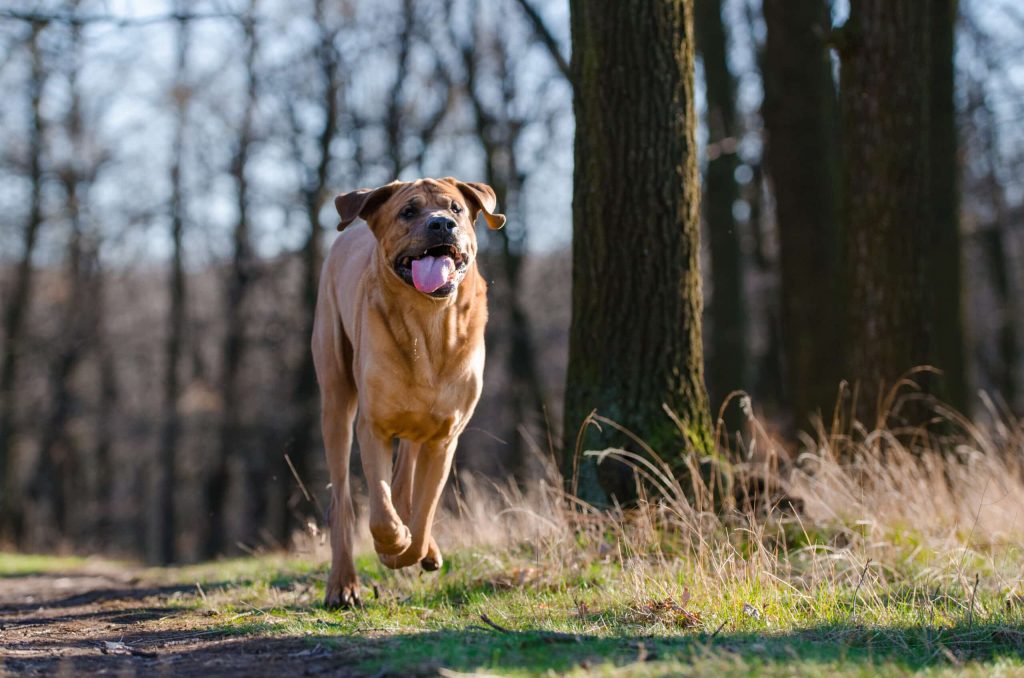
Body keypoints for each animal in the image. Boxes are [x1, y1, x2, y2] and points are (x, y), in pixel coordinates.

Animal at [311, 176, 503, 610]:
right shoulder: (373, 425)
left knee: (404, 483)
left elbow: (425, 507)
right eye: (408, 211)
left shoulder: (444, 436)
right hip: (335, 398)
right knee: (342, 501)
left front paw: (414, 549)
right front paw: (391, 544)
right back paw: (343, 584)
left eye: (456, 209)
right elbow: (380, 513)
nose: (441, 224)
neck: (428, 324)